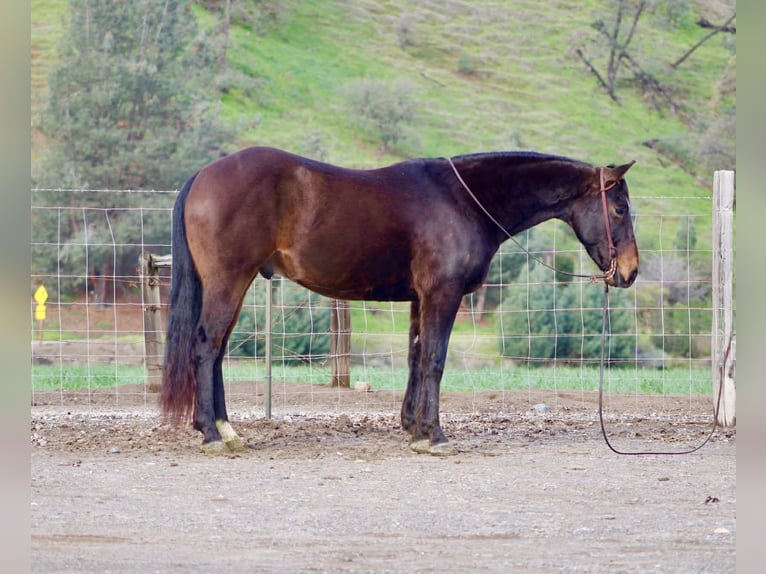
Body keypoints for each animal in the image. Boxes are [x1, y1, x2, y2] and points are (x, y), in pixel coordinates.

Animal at [160, 146, 639, 456]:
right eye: (620, 209)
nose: (630, 271)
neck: (463, 201)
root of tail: (203, 175)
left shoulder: (419, 299)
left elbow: (415, 357)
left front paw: (413, 428)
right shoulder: (442, 295)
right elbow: (435, 360)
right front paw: (435, 435)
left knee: (217, 350)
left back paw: (223, 428)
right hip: (229, 281)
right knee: (206, 346)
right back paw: (212, 434)